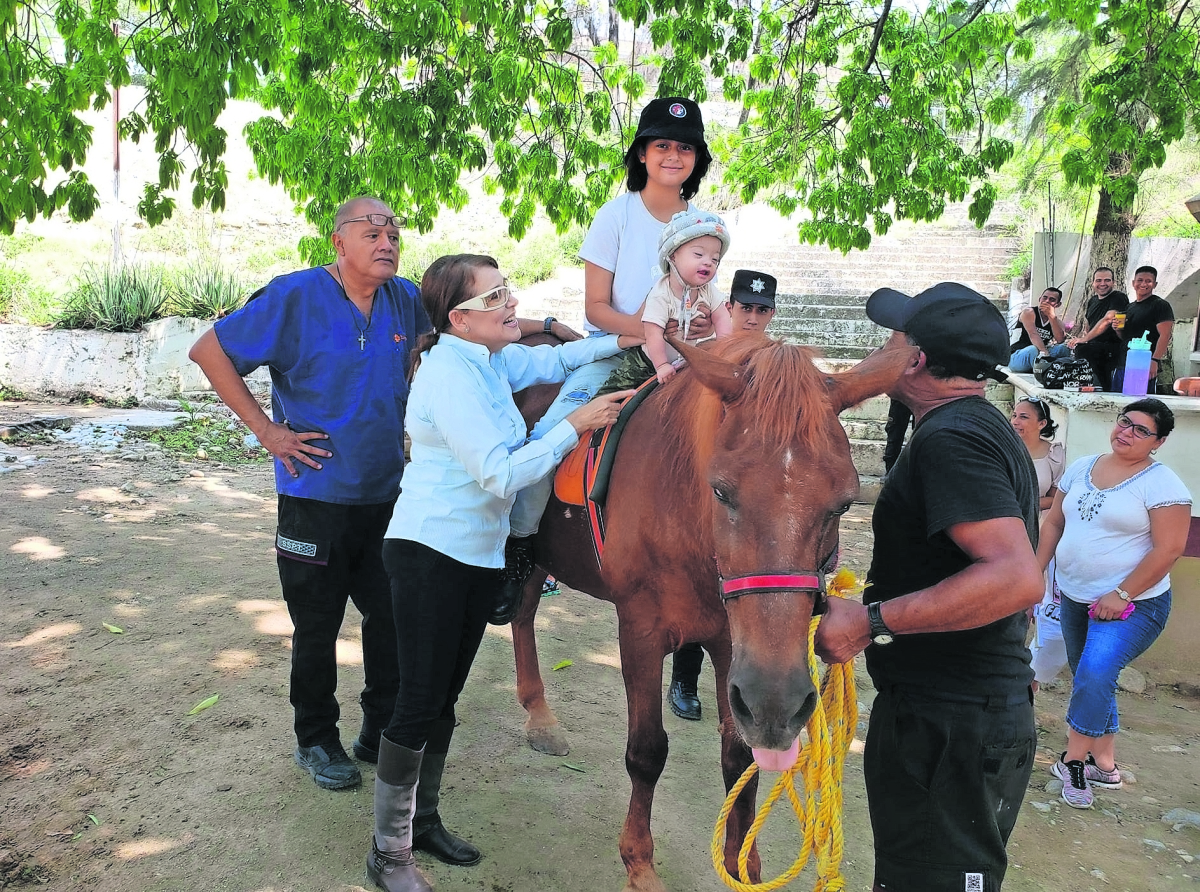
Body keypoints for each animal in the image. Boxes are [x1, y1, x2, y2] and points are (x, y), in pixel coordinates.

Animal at [508, 336, 907, 892]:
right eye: (720, 490)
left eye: (844, 504)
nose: (777, 704)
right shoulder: (640, 631)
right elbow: (647, 750)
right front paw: (639, 863)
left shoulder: (729, 645)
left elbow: (739, 759)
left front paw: (745, 864)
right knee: (522, 612)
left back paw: (540, 716)